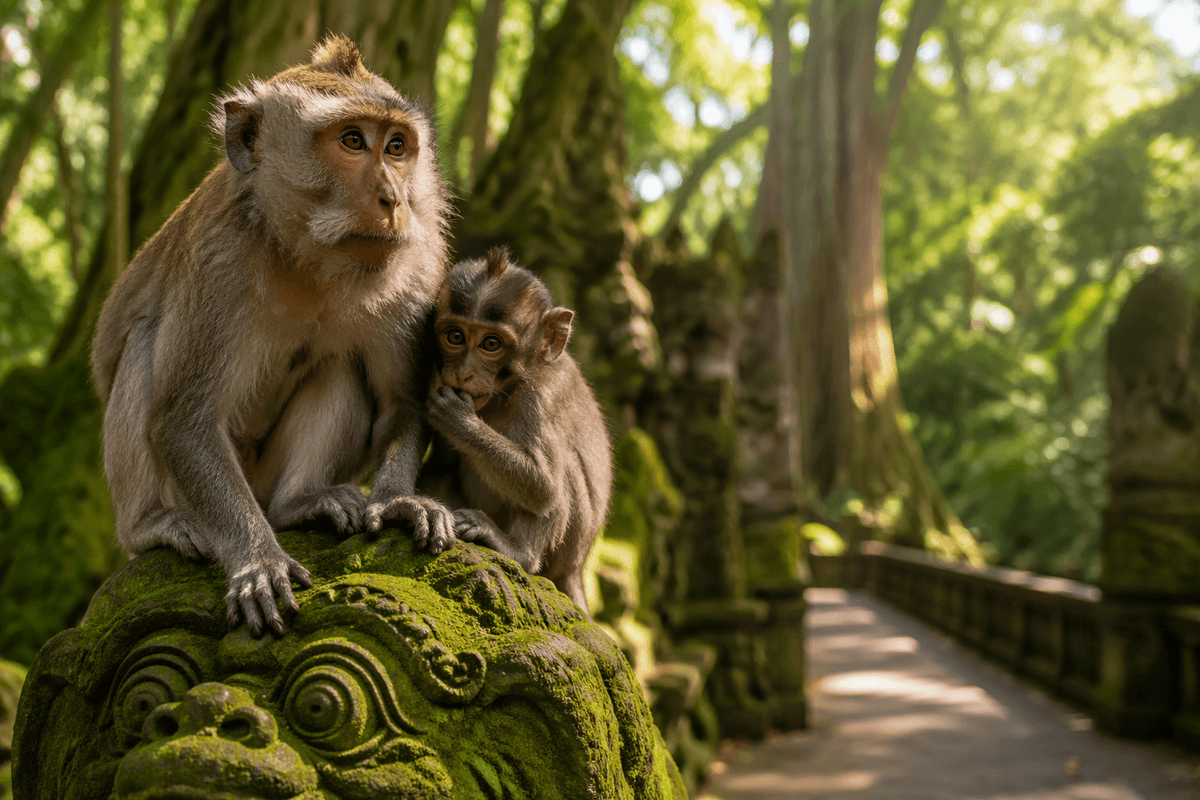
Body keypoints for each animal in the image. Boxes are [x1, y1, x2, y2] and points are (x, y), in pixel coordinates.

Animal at [90, 36, 457, 637]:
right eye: (352, 141)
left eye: (397, 146)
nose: (393, 198)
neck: (310, 259)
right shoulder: (218, 259)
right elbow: (184, 420)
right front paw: (257, 559)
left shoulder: (419, 268)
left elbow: (401, 402)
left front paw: (399, 500)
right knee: (144, 349)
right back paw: (153, 524)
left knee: (341, 364)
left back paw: (297, 504)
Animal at [418, 248, 613, 612]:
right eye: (455, 336)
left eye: (491, 343)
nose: (463, 373)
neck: (504, 392)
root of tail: (575, 568)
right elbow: (441, 463)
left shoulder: (541, 396)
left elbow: (543, 488)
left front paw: (458, 418)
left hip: (565, 550)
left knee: (558, 480)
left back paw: (518, 551)